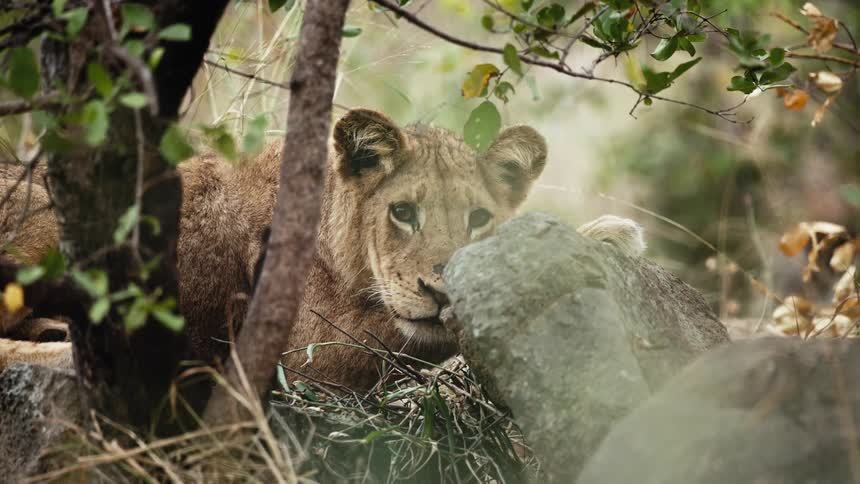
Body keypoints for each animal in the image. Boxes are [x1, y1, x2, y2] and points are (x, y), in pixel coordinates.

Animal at [0, 108, 645, 391]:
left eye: (479, 219)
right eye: (402, 212)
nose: (439, 292)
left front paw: (605, 233)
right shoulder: (302, 346)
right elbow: (408, 339)